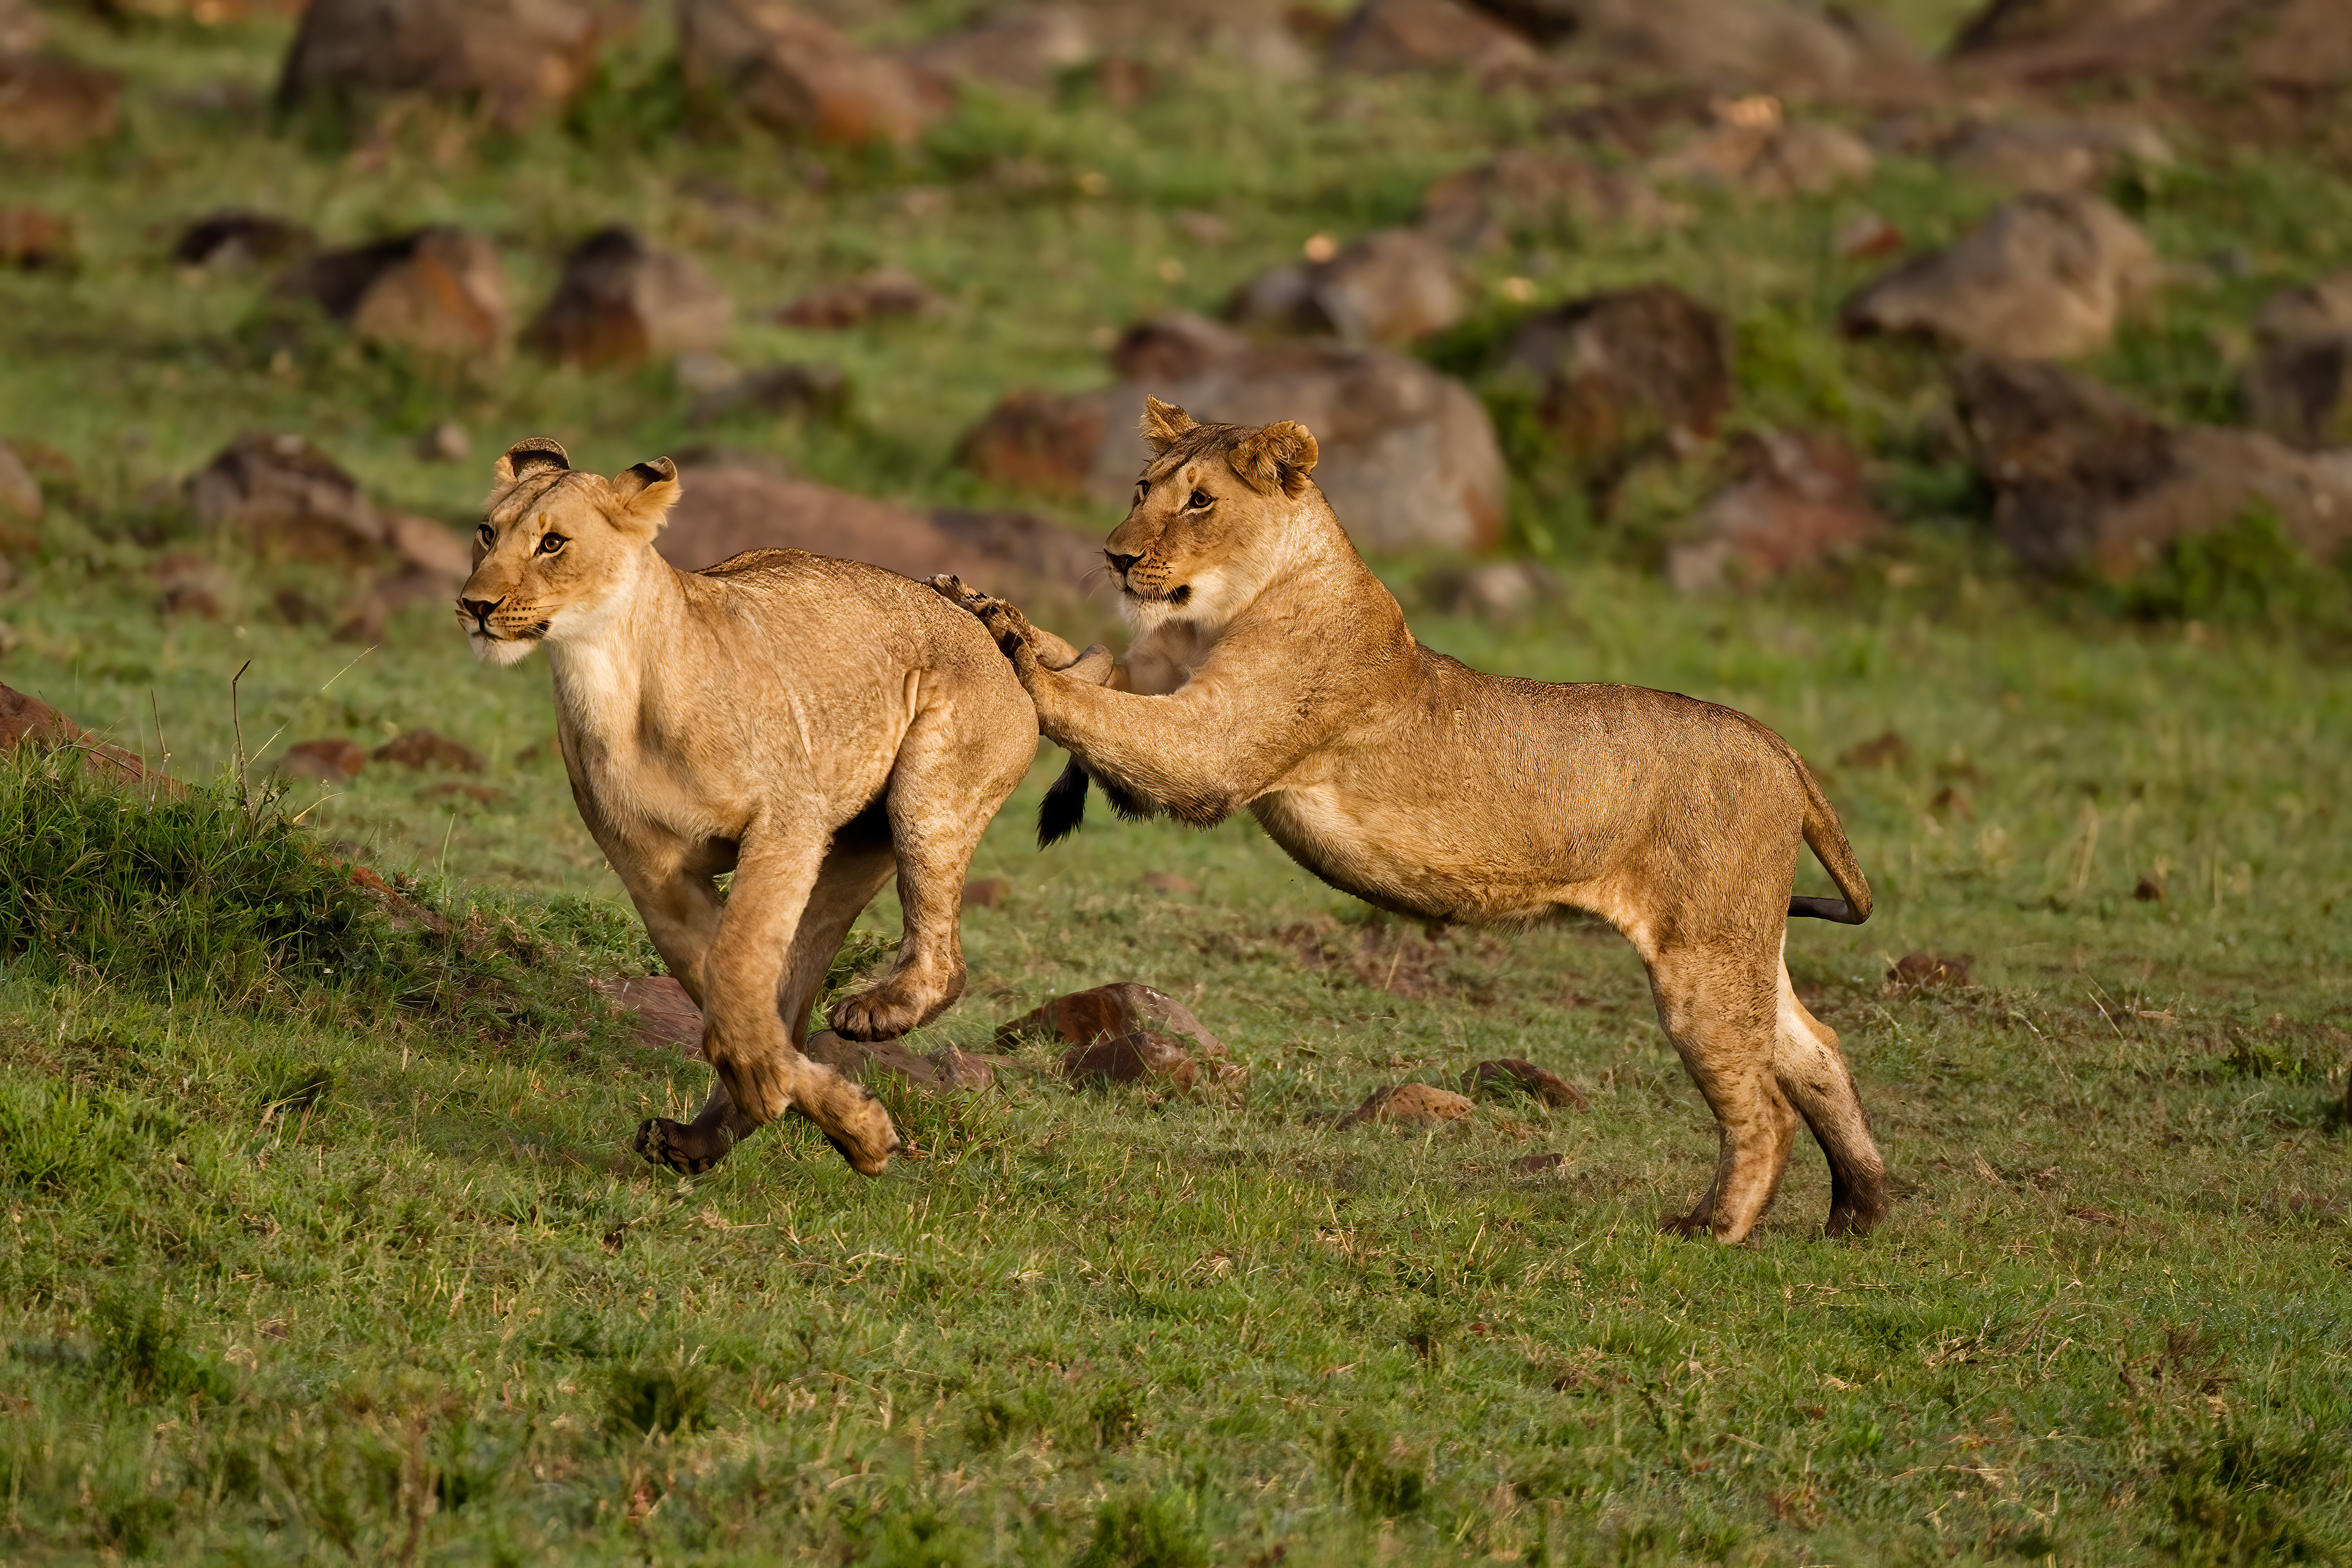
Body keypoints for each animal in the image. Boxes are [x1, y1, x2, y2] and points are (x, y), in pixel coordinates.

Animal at [459, 438, 1044, 1178]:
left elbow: (736, 964)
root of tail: (988, 634)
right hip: (845, 853)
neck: (607, 680)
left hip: (924, 802)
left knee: (944, 960)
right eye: (487, 533)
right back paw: (700, 1137)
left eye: (553, 543)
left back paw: (874, 1016)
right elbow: (722, 982)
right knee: (792, 1004)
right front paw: (843, 1119)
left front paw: (788, 1091)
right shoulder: (652, 872)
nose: (474, 604)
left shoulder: (785, 822)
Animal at [936, 398, 1887, 1244]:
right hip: (1742, 944)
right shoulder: (1166, 692)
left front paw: (1013, 645)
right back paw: (1858, 1213)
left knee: (1764, 1104)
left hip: (1703, 955)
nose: (1115, 556)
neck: (1219, 611)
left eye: (1200, 501)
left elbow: (1090, 703)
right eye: (1142, 487)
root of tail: (1778, 746)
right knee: (1819, 1048)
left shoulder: (1215, 753)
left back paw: (1716, 1227)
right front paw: (991, 605)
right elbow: (1095, 671)